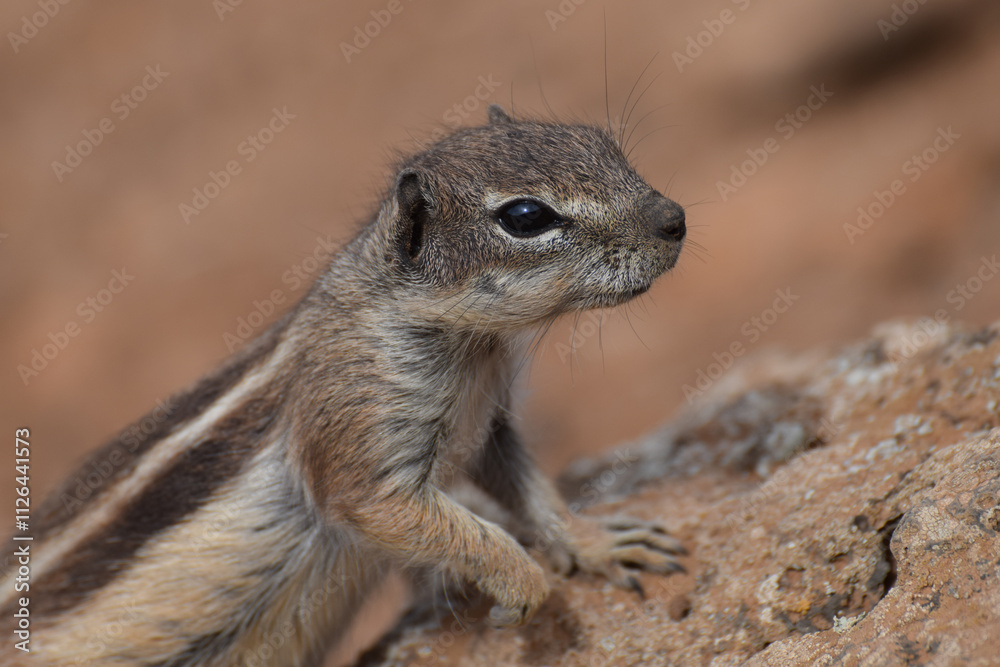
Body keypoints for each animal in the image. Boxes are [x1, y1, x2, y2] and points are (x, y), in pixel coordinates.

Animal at [1, 104, 687, 666]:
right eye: (525, 216)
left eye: (599, 139)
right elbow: (427, 521)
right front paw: (522, 583)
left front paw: (596, 541)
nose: (675, 218)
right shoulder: (361, 430)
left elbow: (531, 488)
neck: (466, 347)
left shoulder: (489, 425)